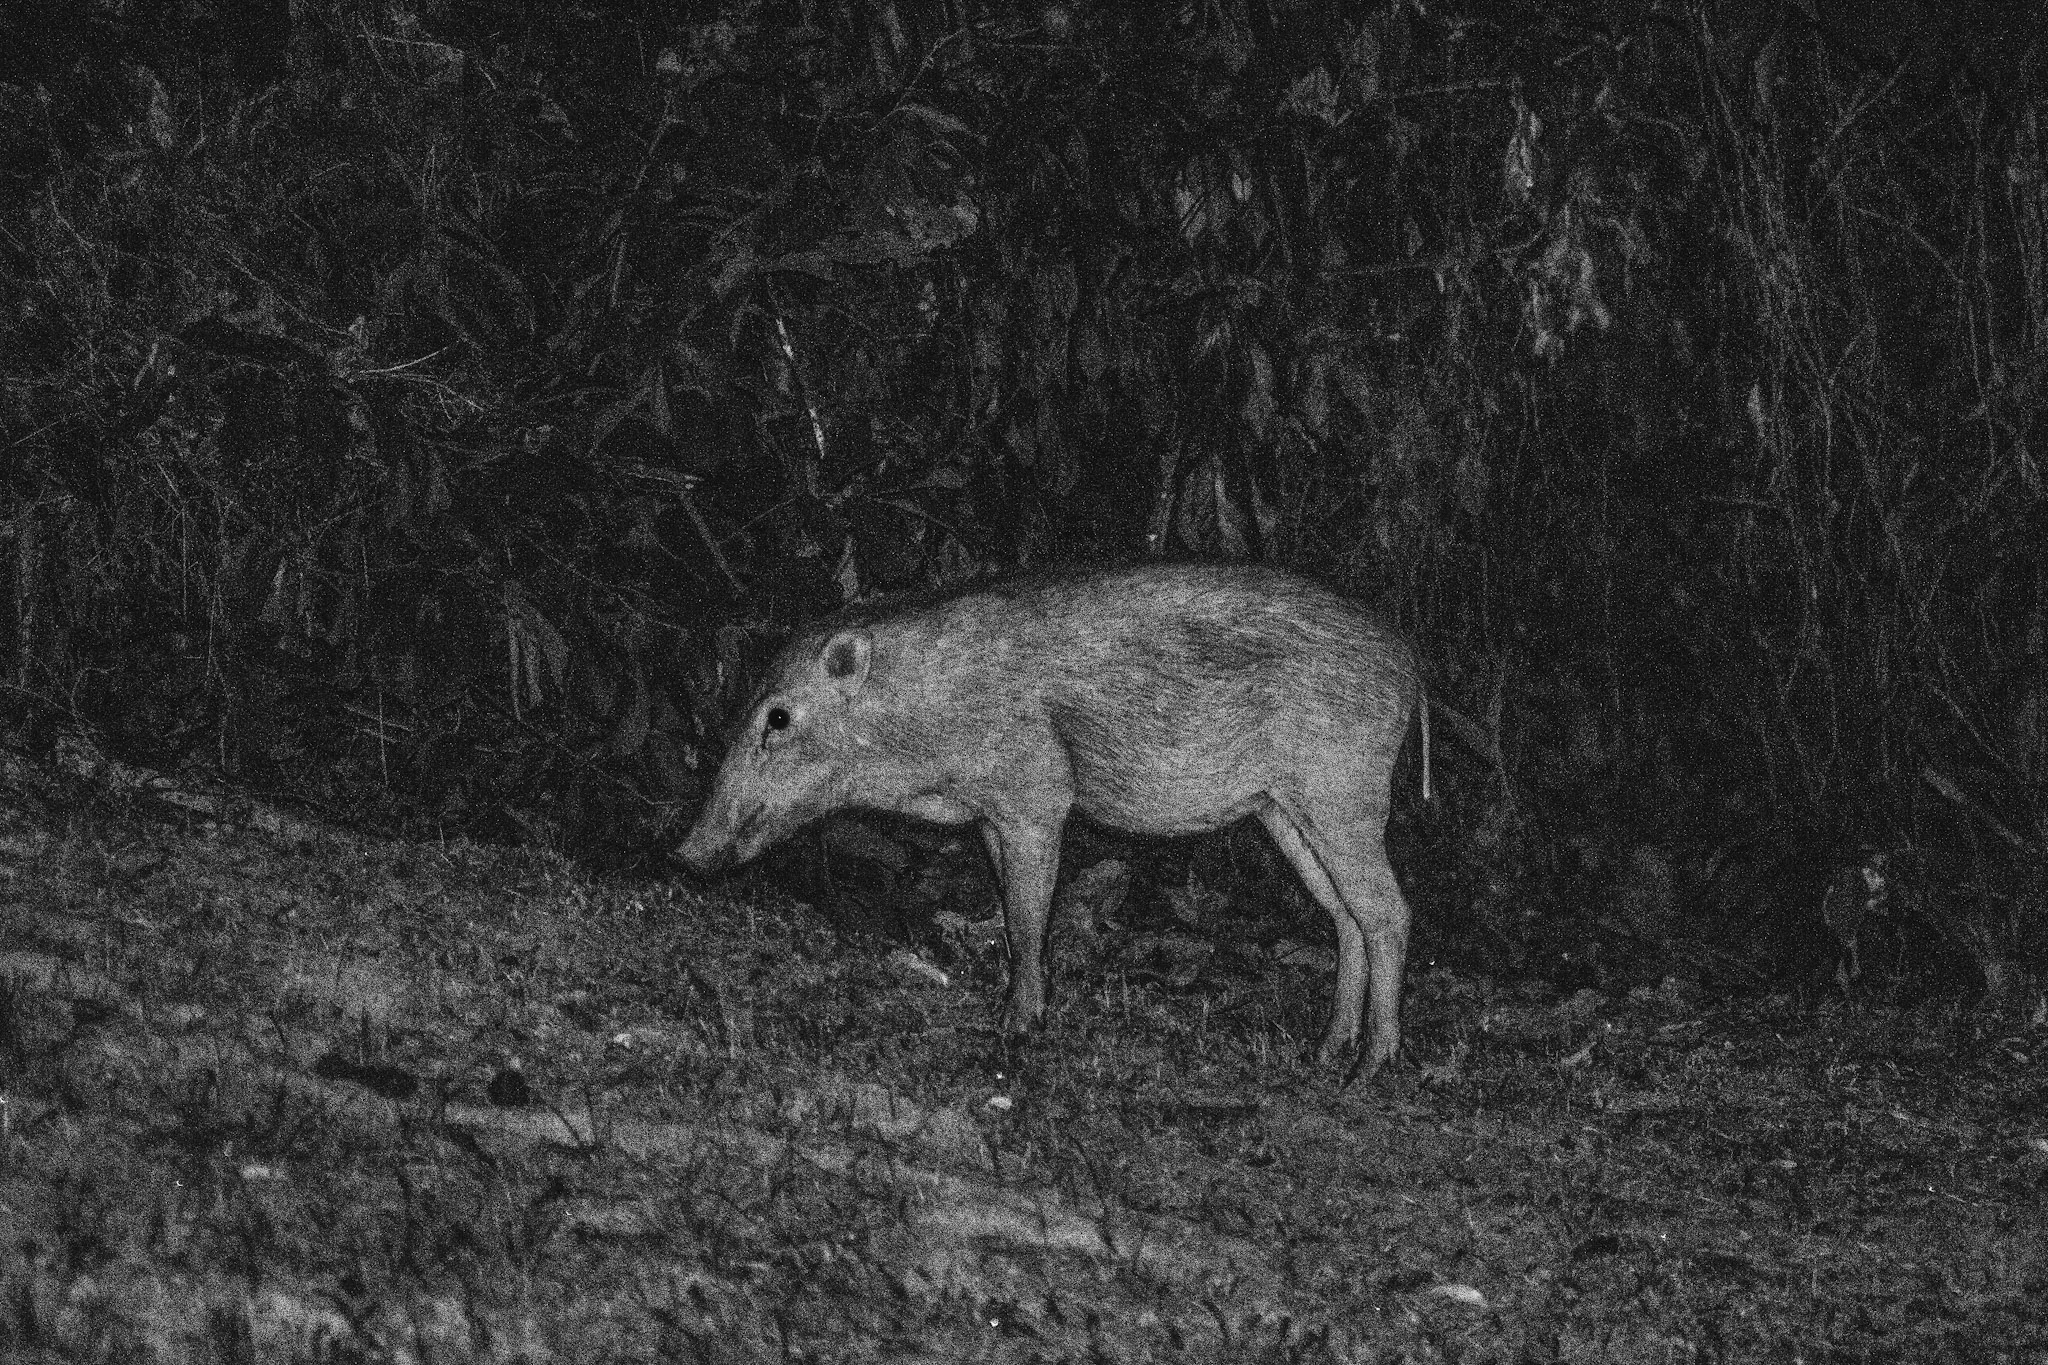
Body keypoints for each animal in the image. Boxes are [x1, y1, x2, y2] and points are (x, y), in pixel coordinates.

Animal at [676, 561, 1424, 1074]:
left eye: (778, 717)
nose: (682, 853)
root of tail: (1411, 667)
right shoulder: (988, 815)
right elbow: (1011, 908)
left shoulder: (1036, 793)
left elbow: (1028, 912)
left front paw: (1015, 1026)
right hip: (1284, 810)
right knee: (1344, 914)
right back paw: (1326, 1050)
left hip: (1344, 790)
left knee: (1389, 909)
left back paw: (1372, 1065)